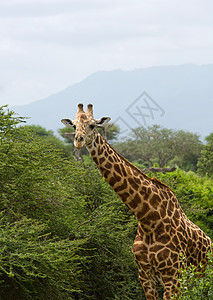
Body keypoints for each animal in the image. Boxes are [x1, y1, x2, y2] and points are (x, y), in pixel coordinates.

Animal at [60, 103, 212, 300]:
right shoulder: (144, 275)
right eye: (73, 125)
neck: (148, 219)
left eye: (93, 125)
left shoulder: (174, 277)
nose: (78, 140)